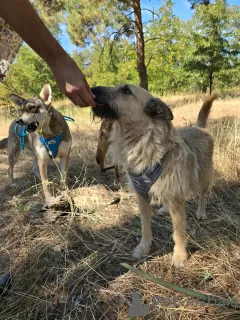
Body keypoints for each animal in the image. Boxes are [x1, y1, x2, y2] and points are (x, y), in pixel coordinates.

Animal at [92, 85, 218, 268]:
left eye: (126, 90)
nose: (92, 89)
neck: (140, 142)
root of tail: (198, 127)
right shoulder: (142, 199)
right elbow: (145, 227)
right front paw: (144, 248)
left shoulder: (176, 200)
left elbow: (179, 231)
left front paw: (180, 256)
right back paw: (164, 209)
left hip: (204, 178)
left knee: (202, 195)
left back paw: (201, 212)